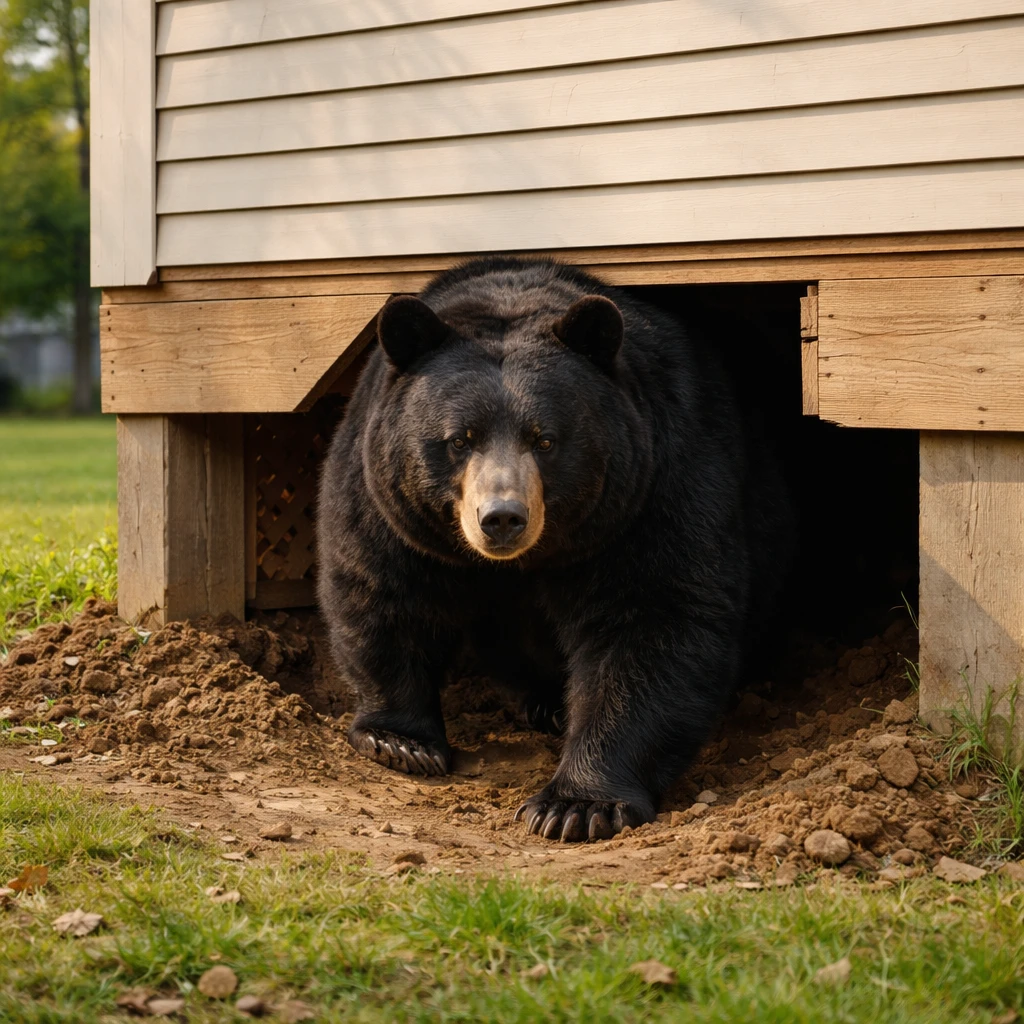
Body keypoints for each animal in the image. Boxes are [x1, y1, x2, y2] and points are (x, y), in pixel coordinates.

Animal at [317, 257, 792, 842]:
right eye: (460, 439)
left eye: (544, 439)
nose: (502, 518)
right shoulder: (384, 492)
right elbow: (383, 585)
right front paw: (401, 742)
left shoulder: (656, 485)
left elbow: (653, 618)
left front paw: (575, 806)